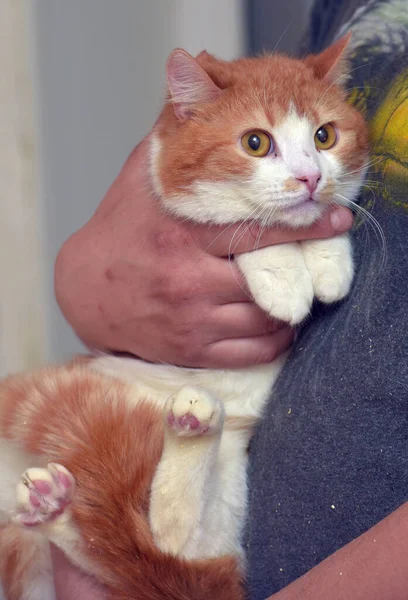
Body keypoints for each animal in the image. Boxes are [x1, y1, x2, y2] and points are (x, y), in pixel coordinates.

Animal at [0, 35, 370, 600]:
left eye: (324, 136)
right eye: (256, 143)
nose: (309, 176)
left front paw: (328, 256)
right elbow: (245, 227)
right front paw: (282, 270)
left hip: (229, 478)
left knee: (171, 540)